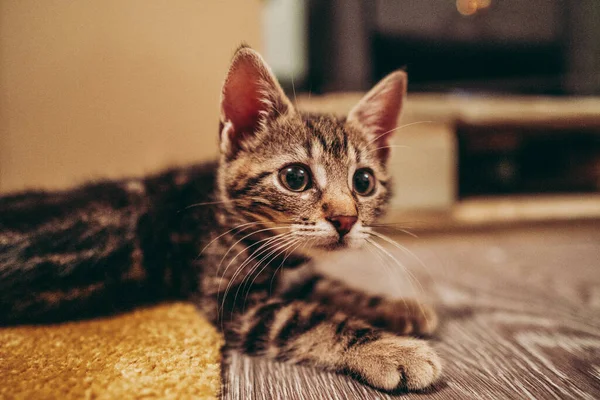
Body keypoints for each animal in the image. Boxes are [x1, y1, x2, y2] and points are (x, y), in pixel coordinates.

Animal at [0, 46, 440, 390]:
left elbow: (326, 285)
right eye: (295, 178)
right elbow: (306, 318)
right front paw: (391, 349)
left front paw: (398, 307)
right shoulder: (234, 302)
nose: (346, 220)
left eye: (363, 182)